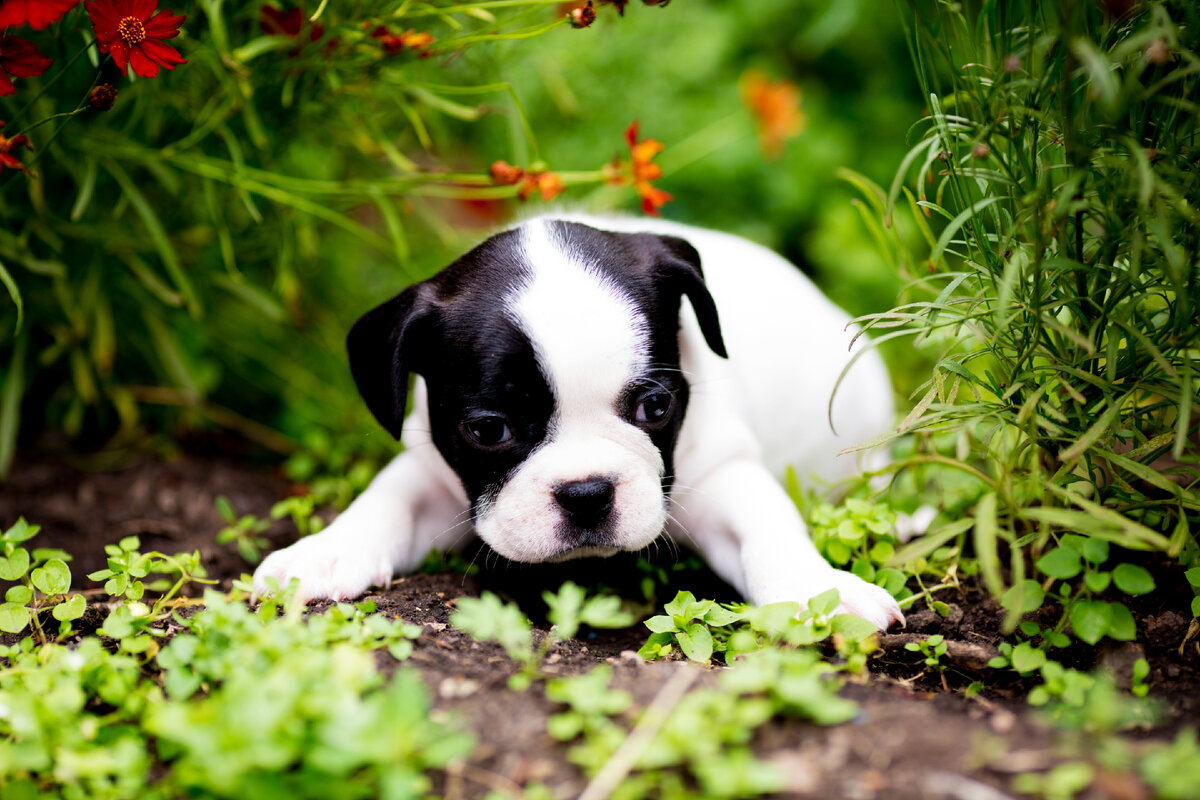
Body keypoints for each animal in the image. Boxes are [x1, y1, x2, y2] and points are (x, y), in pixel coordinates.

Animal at [253, 215, 902, 628]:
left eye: (656, 407)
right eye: (489, 430)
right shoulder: (432, 472)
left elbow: (769, 527)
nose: (587, 493)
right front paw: (326, 552)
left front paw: (818, 592)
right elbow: (384, 501)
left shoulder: (723, 472)